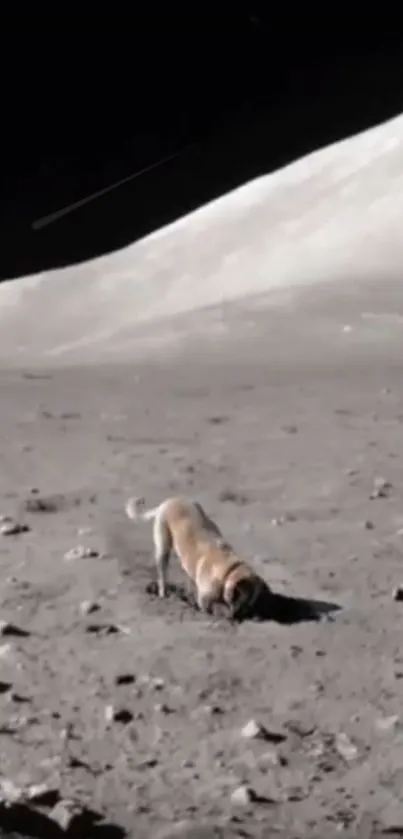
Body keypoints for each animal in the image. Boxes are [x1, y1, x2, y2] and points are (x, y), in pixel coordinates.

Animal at [124, 496, 274, 620]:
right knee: (162, 573)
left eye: (251, 603)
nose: (242, 616)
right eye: (241, 600)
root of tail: (169, 502)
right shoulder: (206, 600)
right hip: (163, 547)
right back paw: (164, 594)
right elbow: (209, 608)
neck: (228, 570)